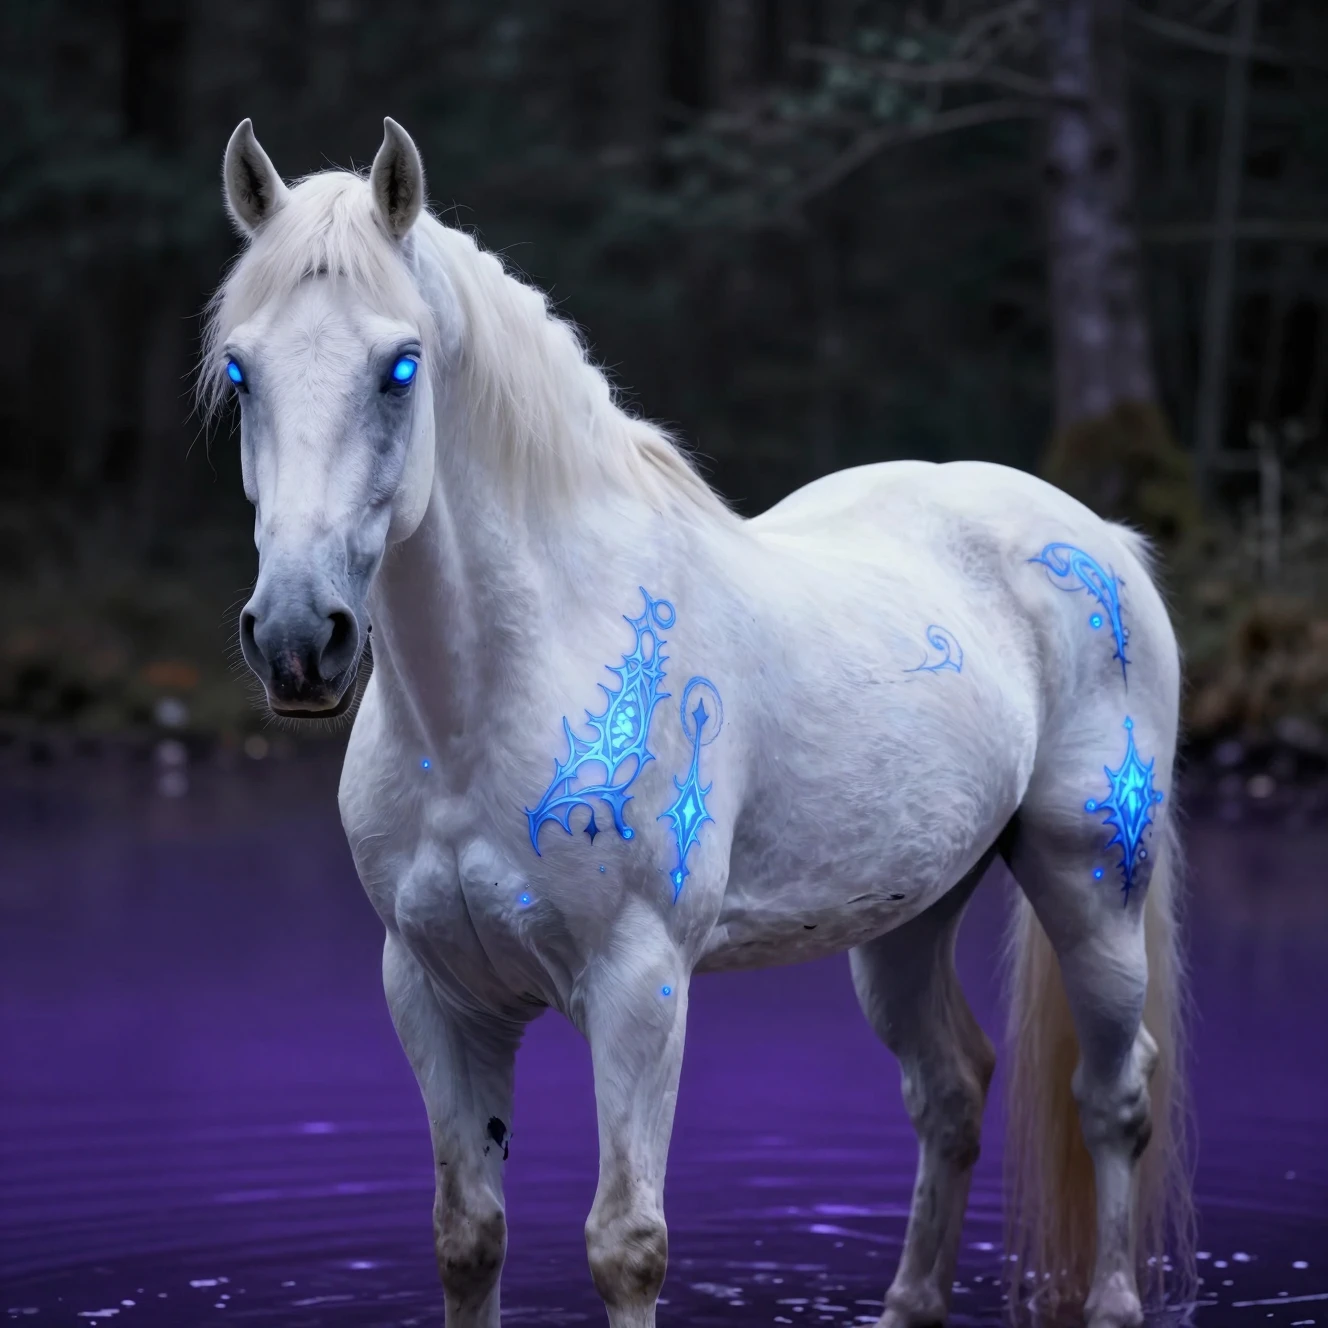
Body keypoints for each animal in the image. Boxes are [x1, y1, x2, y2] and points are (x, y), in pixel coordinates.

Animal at [204, 117, 1194, 1328]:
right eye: (241, 371)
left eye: (400, 367)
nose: (301, 638)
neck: (486, 705)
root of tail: (1100, 537)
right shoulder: (436, 993)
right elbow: (467, 1237)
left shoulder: (641, 984)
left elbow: (625, 1244)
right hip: (910, 912)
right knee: (950, 1089)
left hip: (1090, 883)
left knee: (1112, 1095)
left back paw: (1111, 1297)